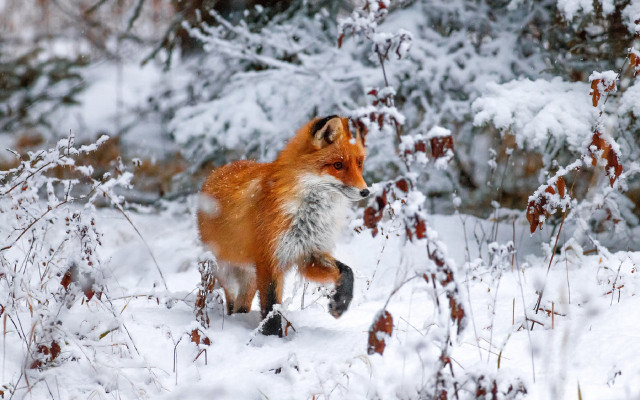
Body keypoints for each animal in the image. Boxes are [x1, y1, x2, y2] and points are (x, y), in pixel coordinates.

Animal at [197, 115, 369, 336]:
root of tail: (216, 171)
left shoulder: (309, 254)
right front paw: (272, 339)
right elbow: (271, 310)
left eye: (359, 163)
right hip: (229, 272)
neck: (308, 215)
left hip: (250, 279)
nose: (365, 192)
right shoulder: (270, 260)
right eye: (338, 165)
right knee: (227, 302)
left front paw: (341, 302)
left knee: (241, 307)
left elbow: (346, 271)